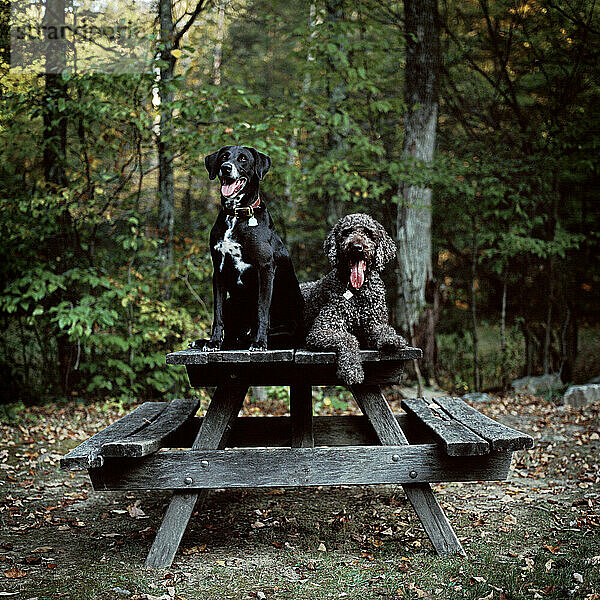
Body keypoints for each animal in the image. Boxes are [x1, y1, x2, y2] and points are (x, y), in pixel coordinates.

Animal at [193, 146, 304, 352]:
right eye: (224, 156)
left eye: (243, 159)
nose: (226, 168)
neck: (236, 215)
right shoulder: (218, 271)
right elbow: (217, 313)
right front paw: (213, 342)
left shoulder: (265, 269)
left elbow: (262, 309)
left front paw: (259, 342)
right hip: (232, 302)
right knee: (232, 335)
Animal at [300, 214, 408, 384]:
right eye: (346, 232)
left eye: (368, 233)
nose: (356, 247)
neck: (357, 292)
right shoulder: (322, 330)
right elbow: (348, 339)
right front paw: (352, 369)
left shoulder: (375, 323)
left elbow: (384, 329)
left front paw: (391, 339)